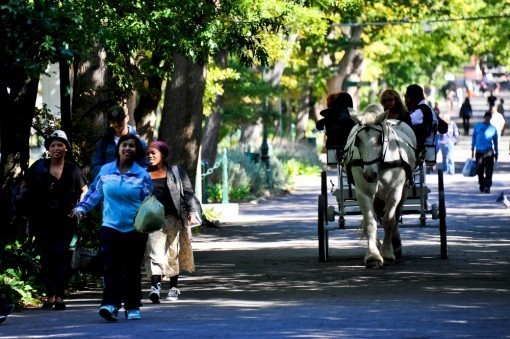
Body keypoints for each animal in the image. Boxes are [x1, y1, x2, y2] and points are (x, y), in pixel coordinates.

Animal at [342, 103, 418, 268]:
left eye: (379, 139)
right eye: (357, 140)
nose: (370, 174)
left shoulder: (395, 191)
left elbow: (389, 221)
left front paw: (388, 254)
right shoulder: (363, 192)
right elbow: (370, 222)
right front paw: (373, 256)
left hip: (404, 191)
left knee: (396, 215)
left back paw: (395, 246)